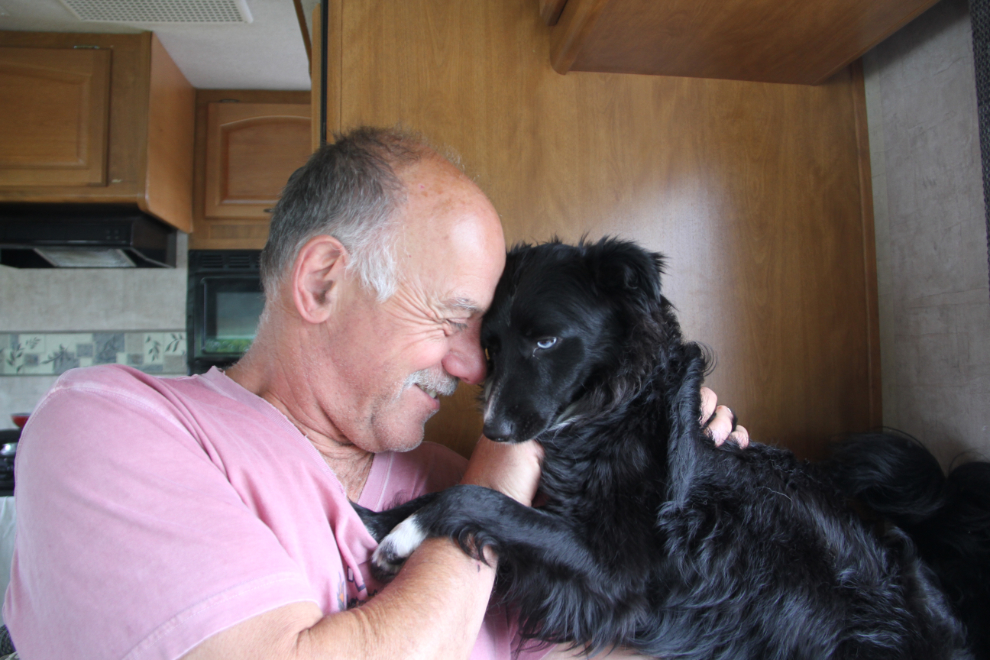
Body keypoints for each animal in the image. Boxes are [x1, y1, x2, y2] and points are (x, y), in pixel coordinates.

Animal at [358, 238, 990, 660]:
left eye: (546, 340)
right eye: (490, 347)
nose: (493, 431)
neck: (616, 413)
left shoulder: (619, 570)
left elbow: (482, 500)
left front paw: (404, 533)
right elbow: (461, 492)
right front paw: (376, 517)